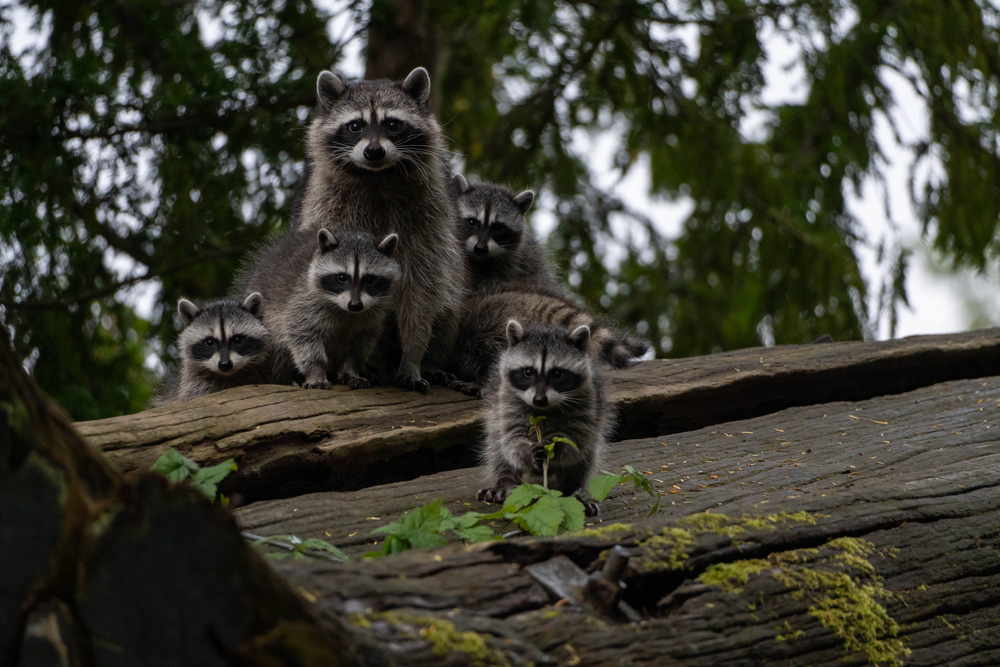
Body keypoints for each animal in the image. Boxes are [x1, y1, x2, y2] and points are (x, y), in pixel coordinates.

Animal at [234, 228, 400, 390]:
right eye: (341, 277)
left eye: (370, 279)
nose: (355, 305)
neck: (345, 310)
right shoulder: (303, 302)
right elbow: (304, 337)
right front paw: (316, 372)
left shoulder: (371, 316)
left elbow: (358, 346)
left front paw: (352, 370)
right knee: (276, 350)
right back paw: (286, 378)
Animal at [295, 66, 467, 392]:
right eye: (355, 126)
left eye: (392, 124)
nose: (374, 151)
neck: (377, 177)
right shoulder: (329, 208)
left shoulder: (428, 223)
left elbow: (421, 289)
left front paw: (413, 356)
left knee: (447, 303)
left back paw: (432, 362)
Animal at [478, 321, 612, 516]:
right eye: (528, 372)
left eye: (557, 374)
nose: (539, 400)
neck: (544, 409)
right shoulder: (506, 400)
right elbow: (512, 440)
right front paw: (525, 452)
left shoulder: (588, 402)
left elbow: (575, 441)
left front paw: (555, 446)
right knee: (497, 448)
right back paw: (505, 480)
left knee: (585, 458)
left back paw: (573, 490)